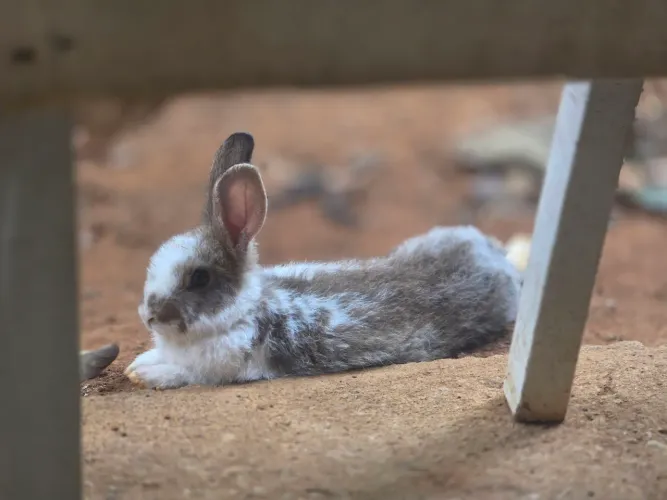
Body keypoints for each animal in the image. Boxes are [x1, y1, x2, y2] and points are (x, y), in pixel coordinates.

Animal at [125, 132, 522, 390]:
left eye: (199, 278)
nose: (149, 316)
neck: (244, 311)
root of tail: (495, 256)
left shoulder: (223, 369)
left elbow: (188, 375)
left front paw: (145, 375)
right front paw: (137, 364)